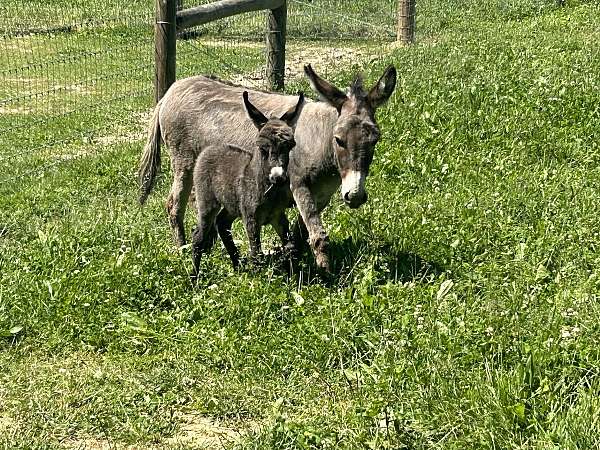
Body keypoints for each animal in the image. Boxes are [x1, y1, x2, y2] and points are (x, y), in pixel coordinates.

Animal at [192, 91, 302, 282]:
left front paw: (293, 276)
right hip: (207, 202)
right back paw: (193, 278)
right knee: (199, 236)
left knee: (222, 224)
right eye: (262, 148)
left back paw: (237, 267)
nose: (279, 178)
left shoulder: (278, 216)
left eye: (290, 147)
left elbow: (290, 247)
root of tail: (210, 148)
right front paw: (258, 282)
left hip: (232, 205)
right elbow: (256, 253)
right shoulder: (251, 218)